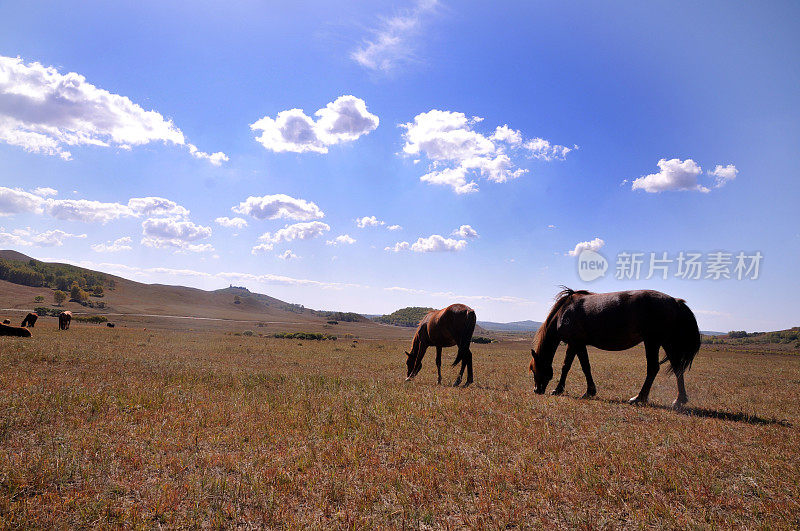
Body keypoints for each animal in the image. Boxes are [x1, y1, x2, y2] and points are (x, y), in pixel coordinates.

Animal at [532, 288, 700, 410]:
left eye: (534, 369)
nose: (536, 390)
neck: (565, 311)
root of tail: (675, 301)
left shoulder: (575, 343)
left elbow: (575, 366)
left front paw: (563, 390)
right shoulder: (577, 344)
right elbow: (575, 366)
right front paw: (583, 391)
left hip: (652, 342)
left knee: (653, 368)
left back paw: (638, 398)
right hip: (665, 343)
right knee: (677, 368)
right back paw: (679, 400)